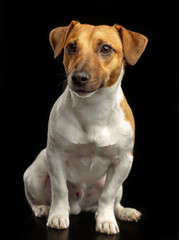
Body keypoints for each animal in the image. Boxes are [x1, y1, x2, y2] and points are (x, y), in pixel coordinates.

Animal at [23, 20, 148, 234]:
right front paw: (57, 215)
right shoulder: (56, 156)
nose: (78, 77)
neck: (93, 109)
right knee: (36, 199)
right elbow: (59, 189)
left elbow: (107, 195)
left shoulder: (124, 161)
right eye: (71, 47)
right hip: (35, 175)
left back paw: (122, 212)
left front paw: (106, 220)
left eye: (106, 48)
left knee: (113, 200)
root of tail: (79, 206)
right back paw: (43, 208)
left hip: (118, 185)